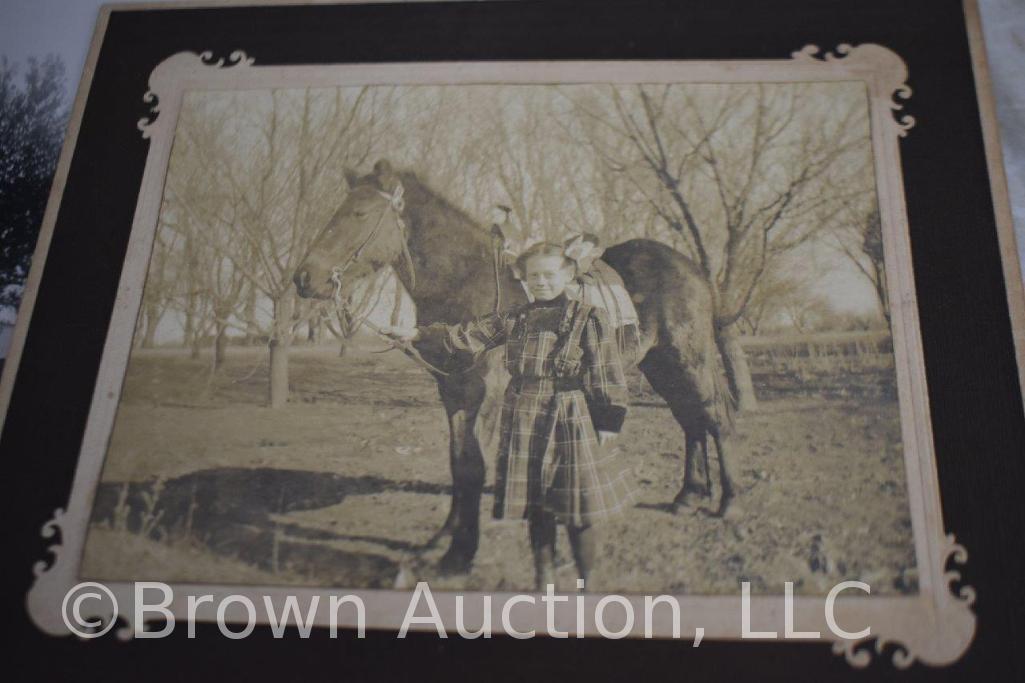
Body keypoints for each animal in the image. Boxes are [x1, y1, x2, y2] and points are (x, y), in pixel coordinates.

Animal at [297, 161, 738, 574]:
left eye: (359, 214)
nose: (305, 278)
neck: (465, 280)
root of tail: (692, 266)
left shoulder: (485, 394)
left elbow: (474, 465)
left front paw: (461, 552)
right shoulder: (453, 394)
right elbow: (458, 462)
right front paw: (443, 539)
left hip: (689, 359)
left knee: (715, 419)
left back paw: (728, 503)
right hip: (661, 366)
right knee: (690, 421)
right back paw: (688, 497)